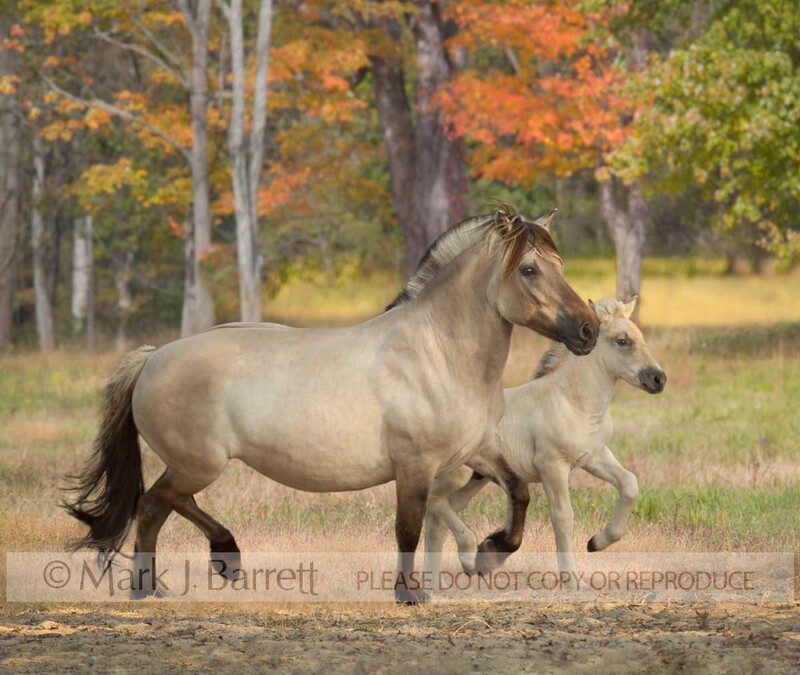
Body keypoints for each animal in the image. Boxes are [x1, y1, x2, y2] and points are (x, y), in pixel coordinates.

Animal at [65, 206, 599, 604]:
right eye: (529, 269)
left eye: (560, 266)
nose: (588, 330)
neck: (437, 352)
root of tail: (153, 358)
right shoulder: (415, 464)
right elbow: (407, 528)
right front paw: (410, 594)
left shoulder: (473, 452)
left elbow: (519, 491)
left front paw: (491, 551)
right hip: (199, 463)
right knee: (158, 502)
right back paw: (220, 558)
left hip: (192, 465)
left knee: (155, 508)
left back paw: (153, 587)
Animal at [424, 296, 667, 582]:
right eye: (622, 341)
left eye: (641, 337)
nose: (658, 378)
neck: (573, 402)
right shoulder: (553, 466)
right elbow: (563, 517)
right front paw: (571, 578)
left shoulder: (594, 456)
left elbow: (629, 484)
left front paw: (596, 543)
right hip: (457, 473)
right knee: (435, 503)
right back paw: (471, 554)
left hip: (477, 477)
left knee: (443, 511)